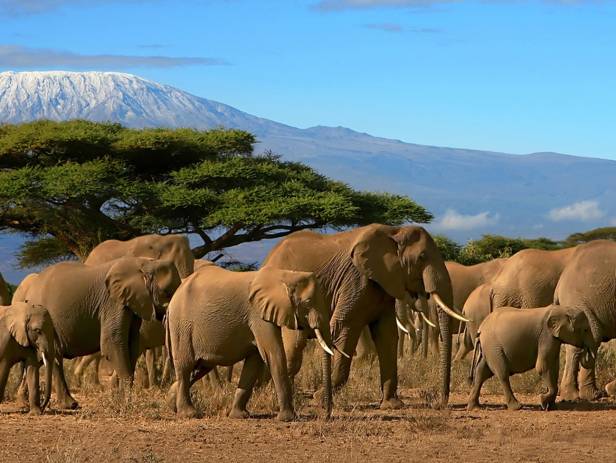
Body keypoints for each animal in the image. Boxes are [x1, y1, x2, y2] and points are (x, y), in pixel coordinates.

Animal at [19, 258, 182, 410]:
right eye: (167, 293)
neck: (144, 262)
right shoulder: (112, 302)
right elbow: (112, 343)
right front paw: (125, 404)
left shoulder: (132, 304)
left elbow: (132, 345)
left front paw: (120, 401)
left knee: (52, 357)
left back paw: (66, 404)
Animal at [166, 264, 334, 420]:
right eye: (307, 302)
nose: (326, 415)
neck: (285, 275)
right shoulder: (258, 315)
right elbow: (274, 355)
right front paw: (288, 418)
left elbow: (254, 362)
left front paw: (239, 416)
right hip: (181, 326)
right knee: (186, 366)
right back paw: (189, 414)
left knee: (200, 368)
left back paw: (172, 404)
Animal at [262, 223, 466, 408]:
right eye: (422, 257)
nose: (440, 403)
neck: (395, 231)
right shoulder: (356, 280)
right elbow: (345, 328)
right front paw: (320, 399)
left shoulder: (384, 284)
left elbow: (387, 335)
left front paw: (392, 404)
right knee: (294, 346)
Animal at [466, 306, 596, 412]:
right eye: (585, 329)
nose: (585, 350)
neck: (562, 309)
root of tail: (481, 328)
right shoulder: (546, 336)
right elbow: (543, 366)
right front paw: (542, 401)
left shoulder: (553, 339)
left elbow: (554, 368)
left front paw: (551, 407)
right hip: (493, 347)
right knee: (502, 374)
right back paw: (517, 407)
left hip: (488, 348)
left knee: (481, 372)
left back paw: (475, 407)